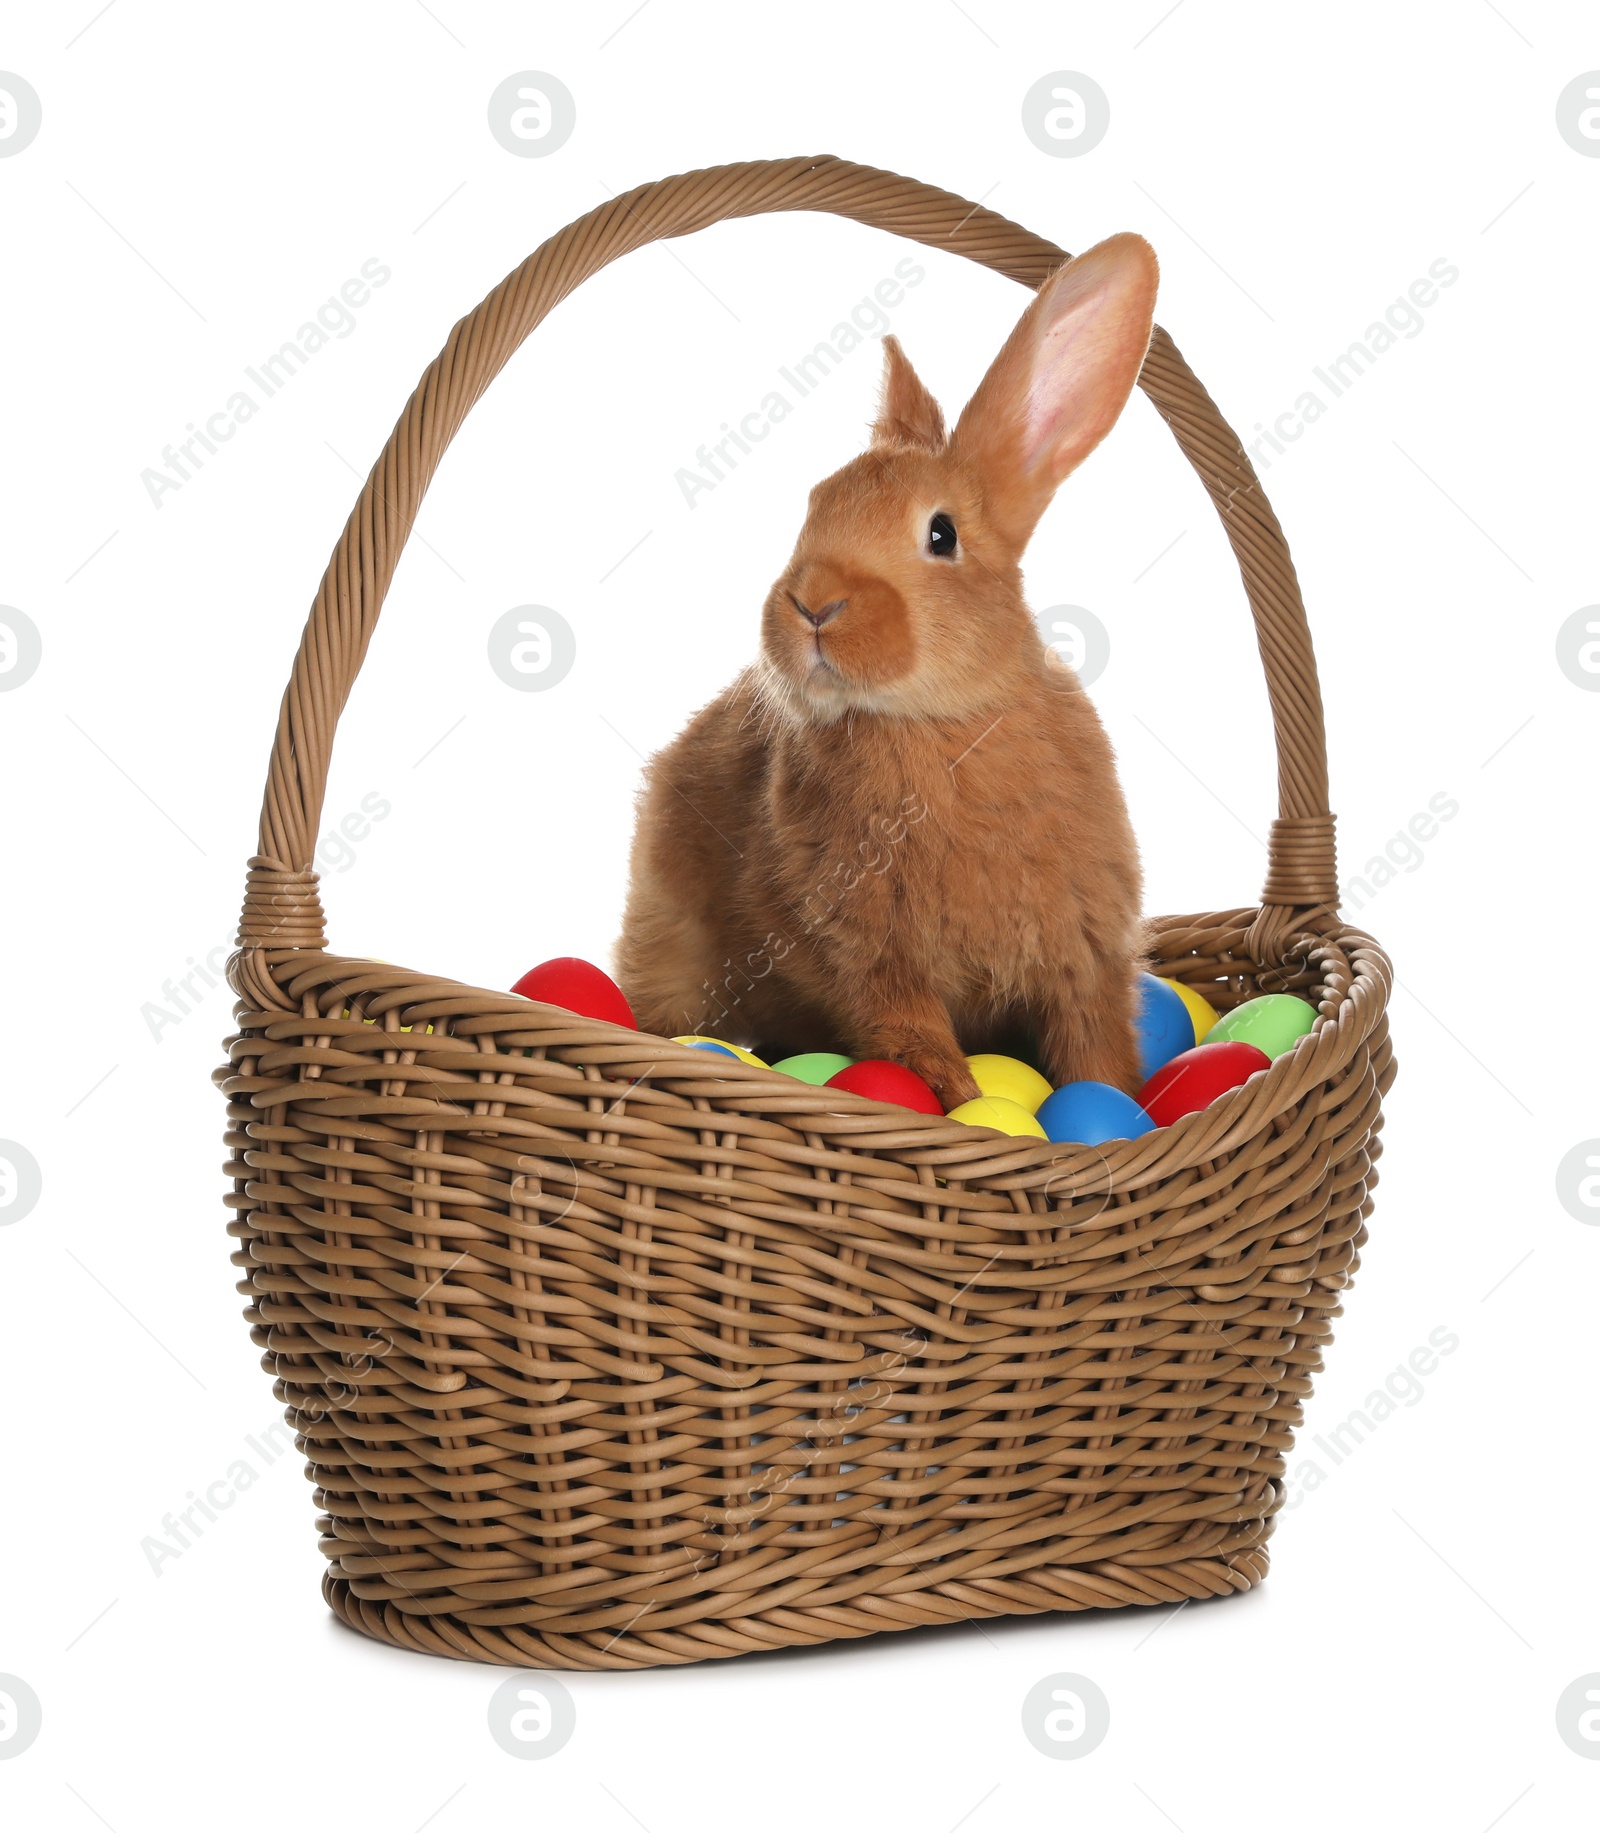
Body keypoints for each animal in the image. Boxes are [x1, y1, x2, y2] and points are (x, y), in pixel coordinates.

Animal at [619, 236, 1158, 1107]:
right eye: (813, 505)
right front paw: (964, 1108)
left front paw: (1110, 1101)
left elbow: (1096, 1049)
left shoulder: (1085, 956)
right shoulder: (871, 959)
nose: (813, 602)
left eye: (942, 534)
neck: (938, 720)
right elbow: (913, 1041)